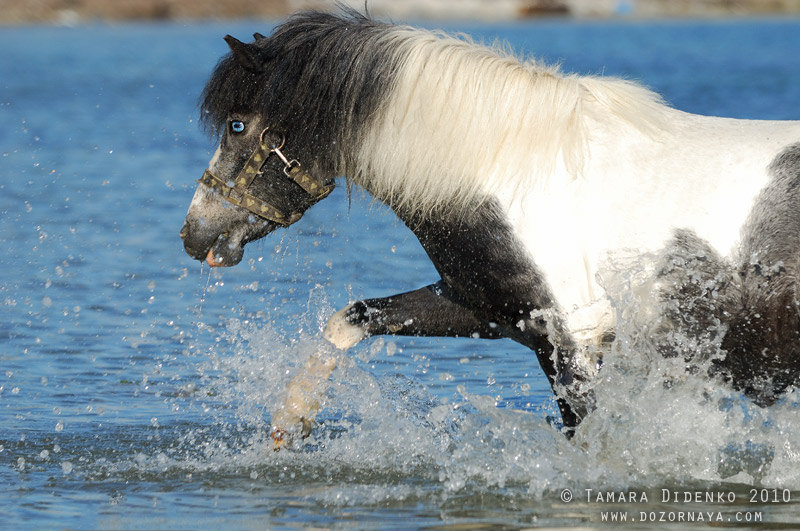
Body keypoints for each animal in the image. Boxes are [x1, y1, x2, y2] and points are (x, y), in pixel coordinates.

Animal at [181, 11, 800, 444]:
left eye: (237, 125)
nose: (194, 236)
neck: (516, 171)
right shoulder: (484, 311)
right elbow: (351, 318)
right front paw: (291, 422)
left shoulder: (574, 346)